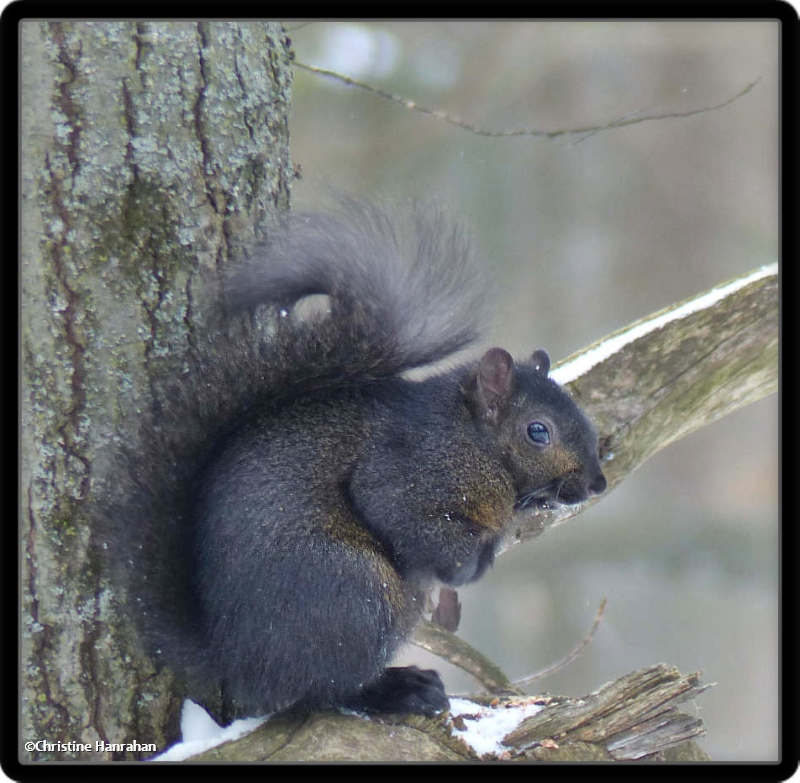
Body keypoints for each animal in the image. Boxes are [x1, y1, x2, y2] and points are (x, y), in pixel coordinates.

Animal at [106, 201, 608, 724]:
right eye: (538, 431)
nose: (598, 483)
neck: (475, 441)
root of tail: (235, 658)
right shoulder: (413, 467)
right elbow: (400, 513)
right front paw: (468, 566)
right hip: (355, 593)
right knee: (320, 690)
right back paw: (397, 689)